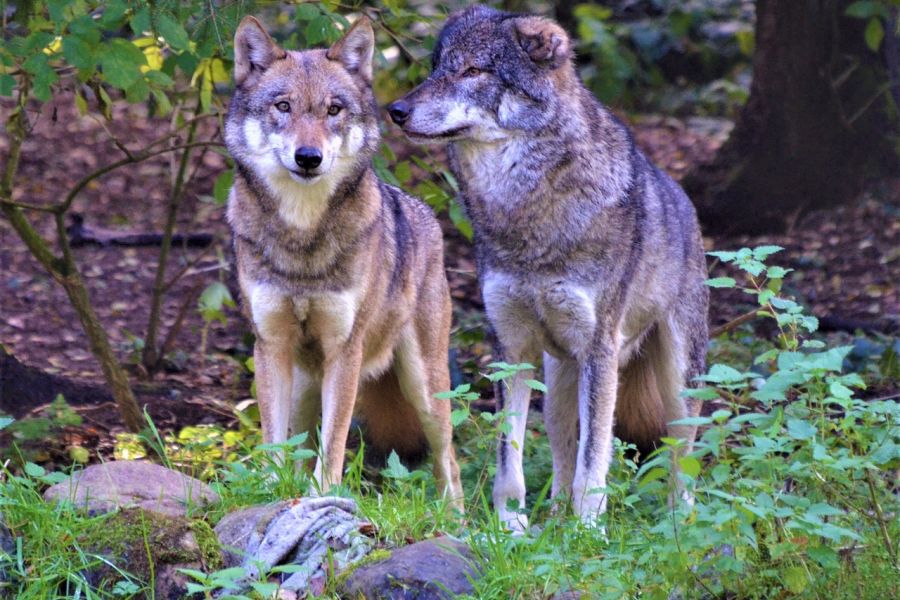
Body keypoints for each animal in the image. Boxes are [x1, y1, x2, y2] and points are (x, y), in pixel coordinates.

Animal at [225, 15, 464, 506]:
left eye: (333, 110)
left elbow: (334, 439)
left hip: (425, 389)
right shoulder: (269, 345)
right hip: (303, 383)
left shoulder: (345, 349)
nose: (308, 157)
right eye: (283, 106)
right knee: (297, 442)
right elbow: (274, 440)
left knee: (450, 461)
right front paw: (272, 494)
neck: (302, 238)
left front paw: (324, 493)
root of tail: (425, 214)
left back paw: (459, 520)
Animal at [390, 4, 708, 528]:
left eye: (473, 71)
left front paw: (589, 531)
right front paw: (511, 527)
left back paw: (676, 522)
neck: (524, 213)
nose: (396, 110)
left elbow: (594, 461)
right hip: (558, 377)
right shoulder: (509, 346)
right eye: (436, 68)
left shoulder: (600, 352)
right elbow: (509, 457)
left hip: (677, 381)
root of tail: (681, 194)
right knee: (561, 451)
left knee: (683, 458)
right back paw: (555, 521)